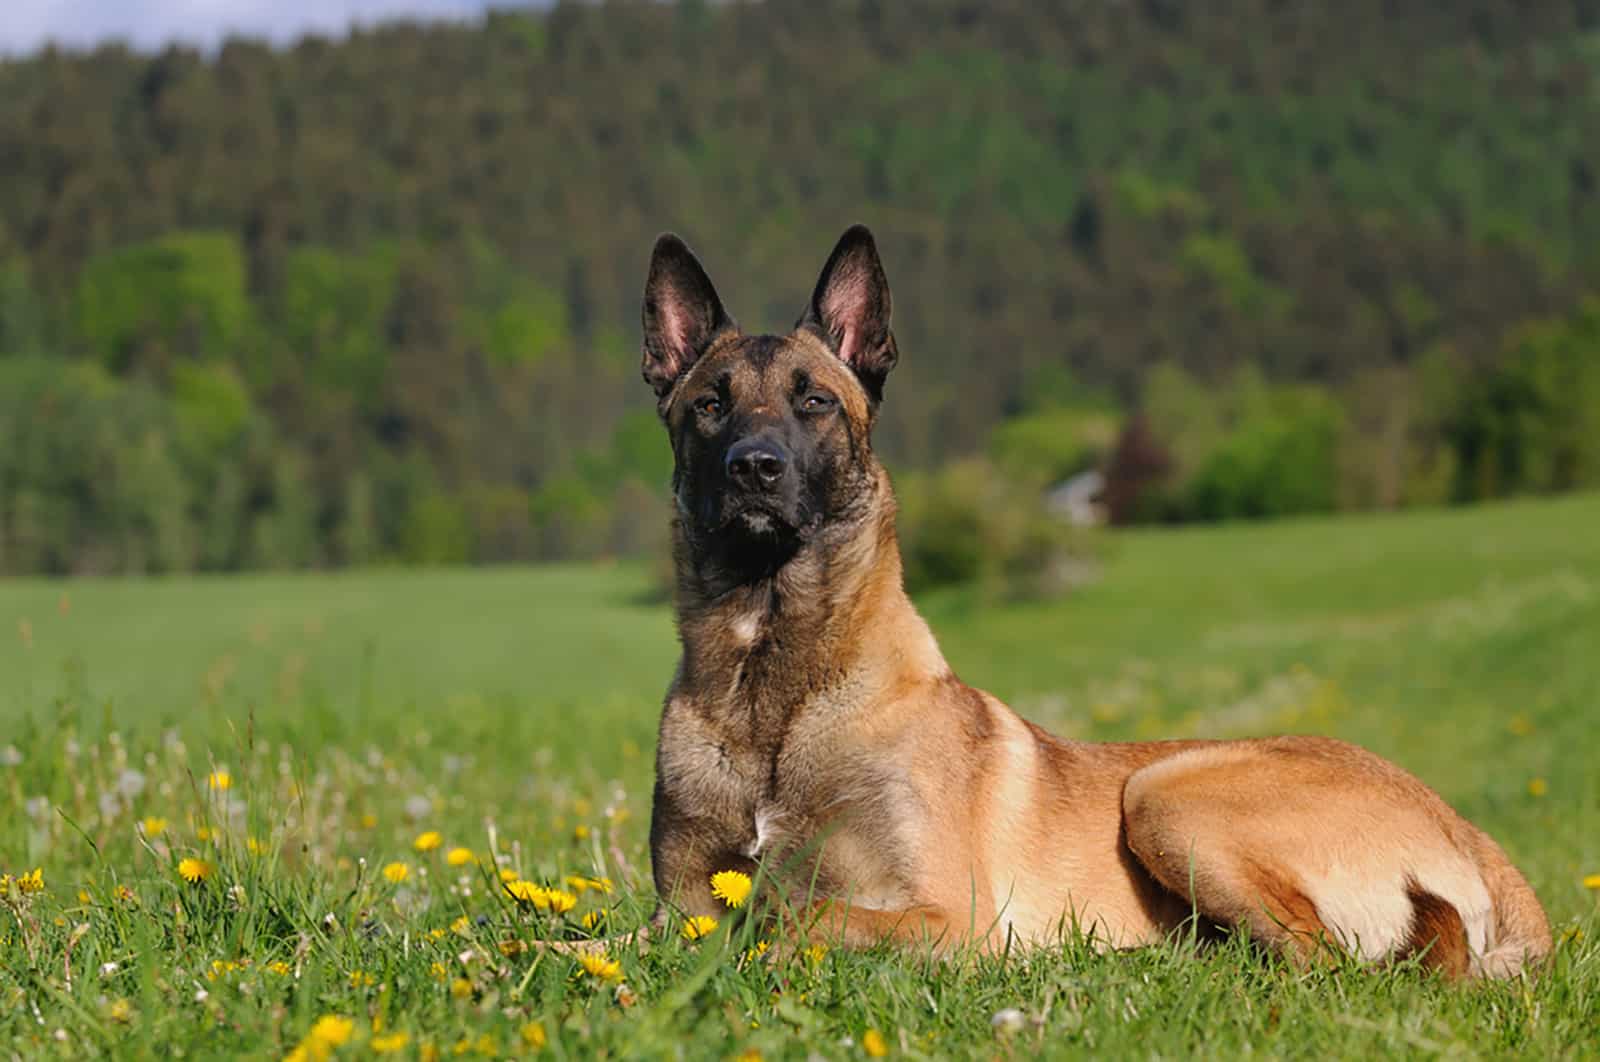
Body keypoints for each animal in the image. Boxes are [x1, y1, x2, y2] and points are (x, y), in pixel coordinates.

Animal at [636, 225, 1548, 978]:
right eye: (710, 404)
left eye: (815, 400)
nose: (754, 469)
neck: (773, 686)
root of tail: (1464, 829)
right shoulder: (679, 903)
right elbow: (646, 932)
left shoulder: (949, 919)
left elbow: (794, 918)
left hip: (1166, 794)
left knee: (1323, 960)